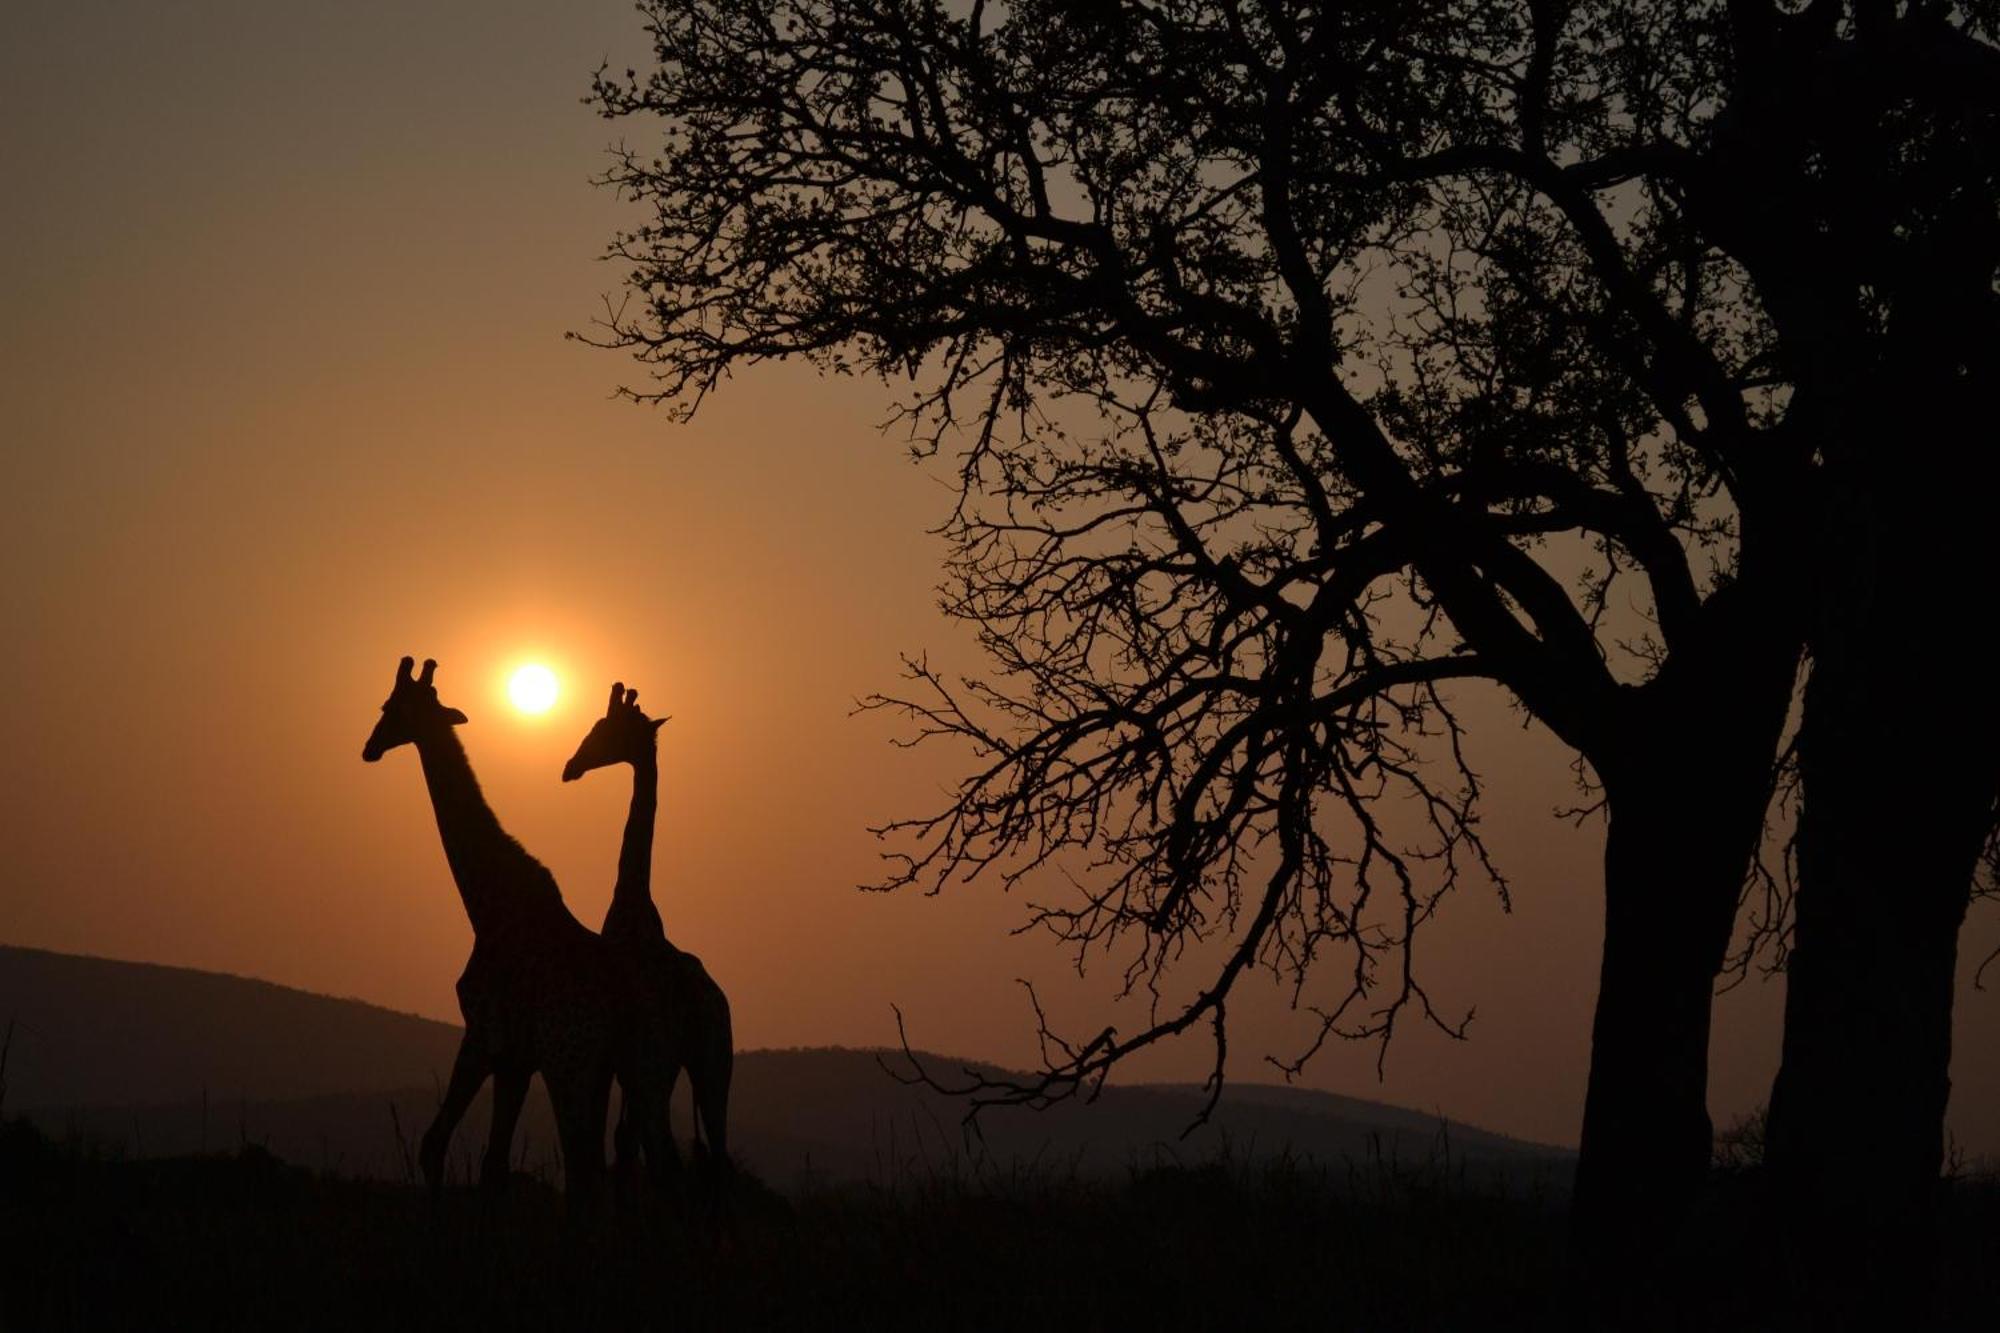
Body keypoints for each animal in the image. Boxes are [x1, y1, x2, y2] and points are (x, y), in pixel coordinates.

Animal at [356, 652, 676, 1200]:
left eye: (390, 707)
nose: (369, 748)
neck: (486, 909)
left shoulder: (485, 1035)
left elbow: (435, 1145)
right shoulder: (517, 1059)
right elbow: (492, 1165)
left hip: (573, 1066)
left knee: (587, 1169)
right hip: (640, 1074)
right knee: (651, 1165)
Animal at [564, 680, 736, 1168]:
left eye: (606, 731)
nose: (571, 767)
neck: (634, 906)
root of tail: (698, 1001)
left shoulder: (618, 1064)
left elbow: (614, 1144)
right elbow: (623, 1147)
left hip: (654, 1068)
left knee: (663, 1151)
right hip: (714, 1068)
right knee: (716, 1153)